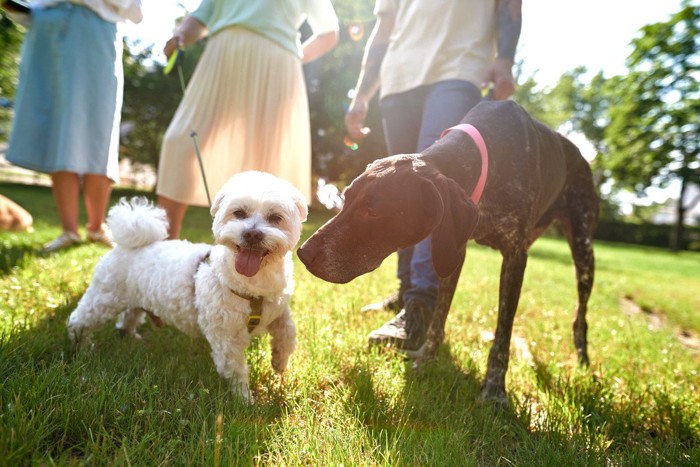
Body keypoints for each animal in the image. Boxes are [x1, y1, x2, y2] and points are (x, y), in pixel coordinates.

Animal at [67, 170, 308, 404]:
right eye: (239, 213)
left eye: (275, 217)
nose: (252, 234)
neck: (255, 285)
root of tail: (128, 245)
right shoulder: (226, 337)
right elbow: (235, 369)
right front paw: (244, 400)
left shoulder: (278, 309)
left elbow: (288, 333)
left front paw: (279, 361)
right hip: (104, 299)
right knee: (79, 320)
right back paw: (79, 346)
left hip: (134, 297)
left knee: (130, 315)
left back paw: (128, 336)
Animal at [298, 100, 600, 404]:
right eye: (346, 198)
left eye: (372, 211)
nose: (303, 253)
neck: (486, 158)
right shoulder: (453, 248)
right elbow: (438, 318)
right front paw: (425, 360)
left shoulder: (515, 257)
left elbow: (502, 336)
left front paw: (495, 390)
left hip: (584, 254)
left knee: (581, 317)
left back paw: (583, 362)